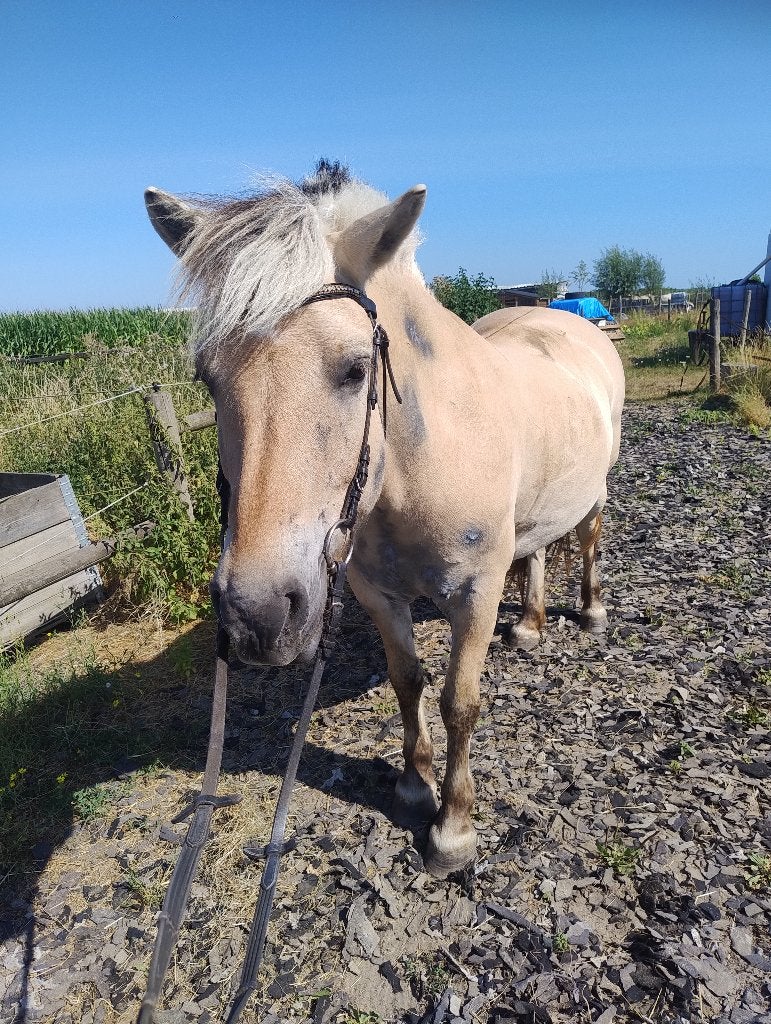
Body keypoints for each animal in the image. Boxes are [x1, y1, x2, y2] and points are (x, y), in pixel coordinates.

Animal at [145, 160, 625, 878]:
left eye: (355, 369)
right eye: (207, 377)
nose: (256, 615)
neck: (418, 469)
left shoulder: (475, 593)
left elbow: (458, 702)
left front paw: (452, 827)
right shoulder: (377, 594)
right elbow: (406, 683)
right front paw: (412, 786)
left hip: (595, 491)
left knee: (589, 540)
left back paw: (589, 610)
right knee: (536, 548)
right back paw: (531, 625)